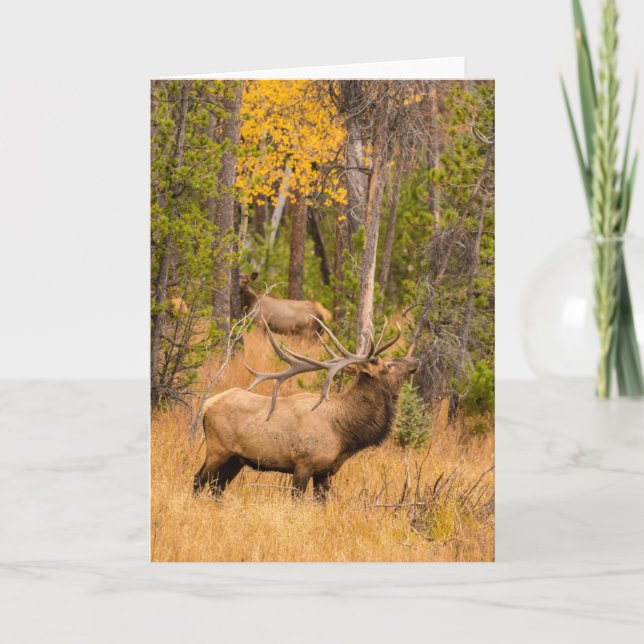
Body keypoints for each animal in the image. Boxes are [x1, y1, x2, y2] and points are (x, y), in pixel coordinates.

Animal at [194, 317, 420, 500]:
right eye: (389, 365)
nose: (415, 360)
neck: (344, 433)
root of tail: (207, 405)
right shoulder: (303, 463)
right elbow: (297, 500)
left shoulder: (325, 471)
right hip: (217, 449)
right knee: (199, 479)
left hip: (237, 459)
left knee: (217, 488)